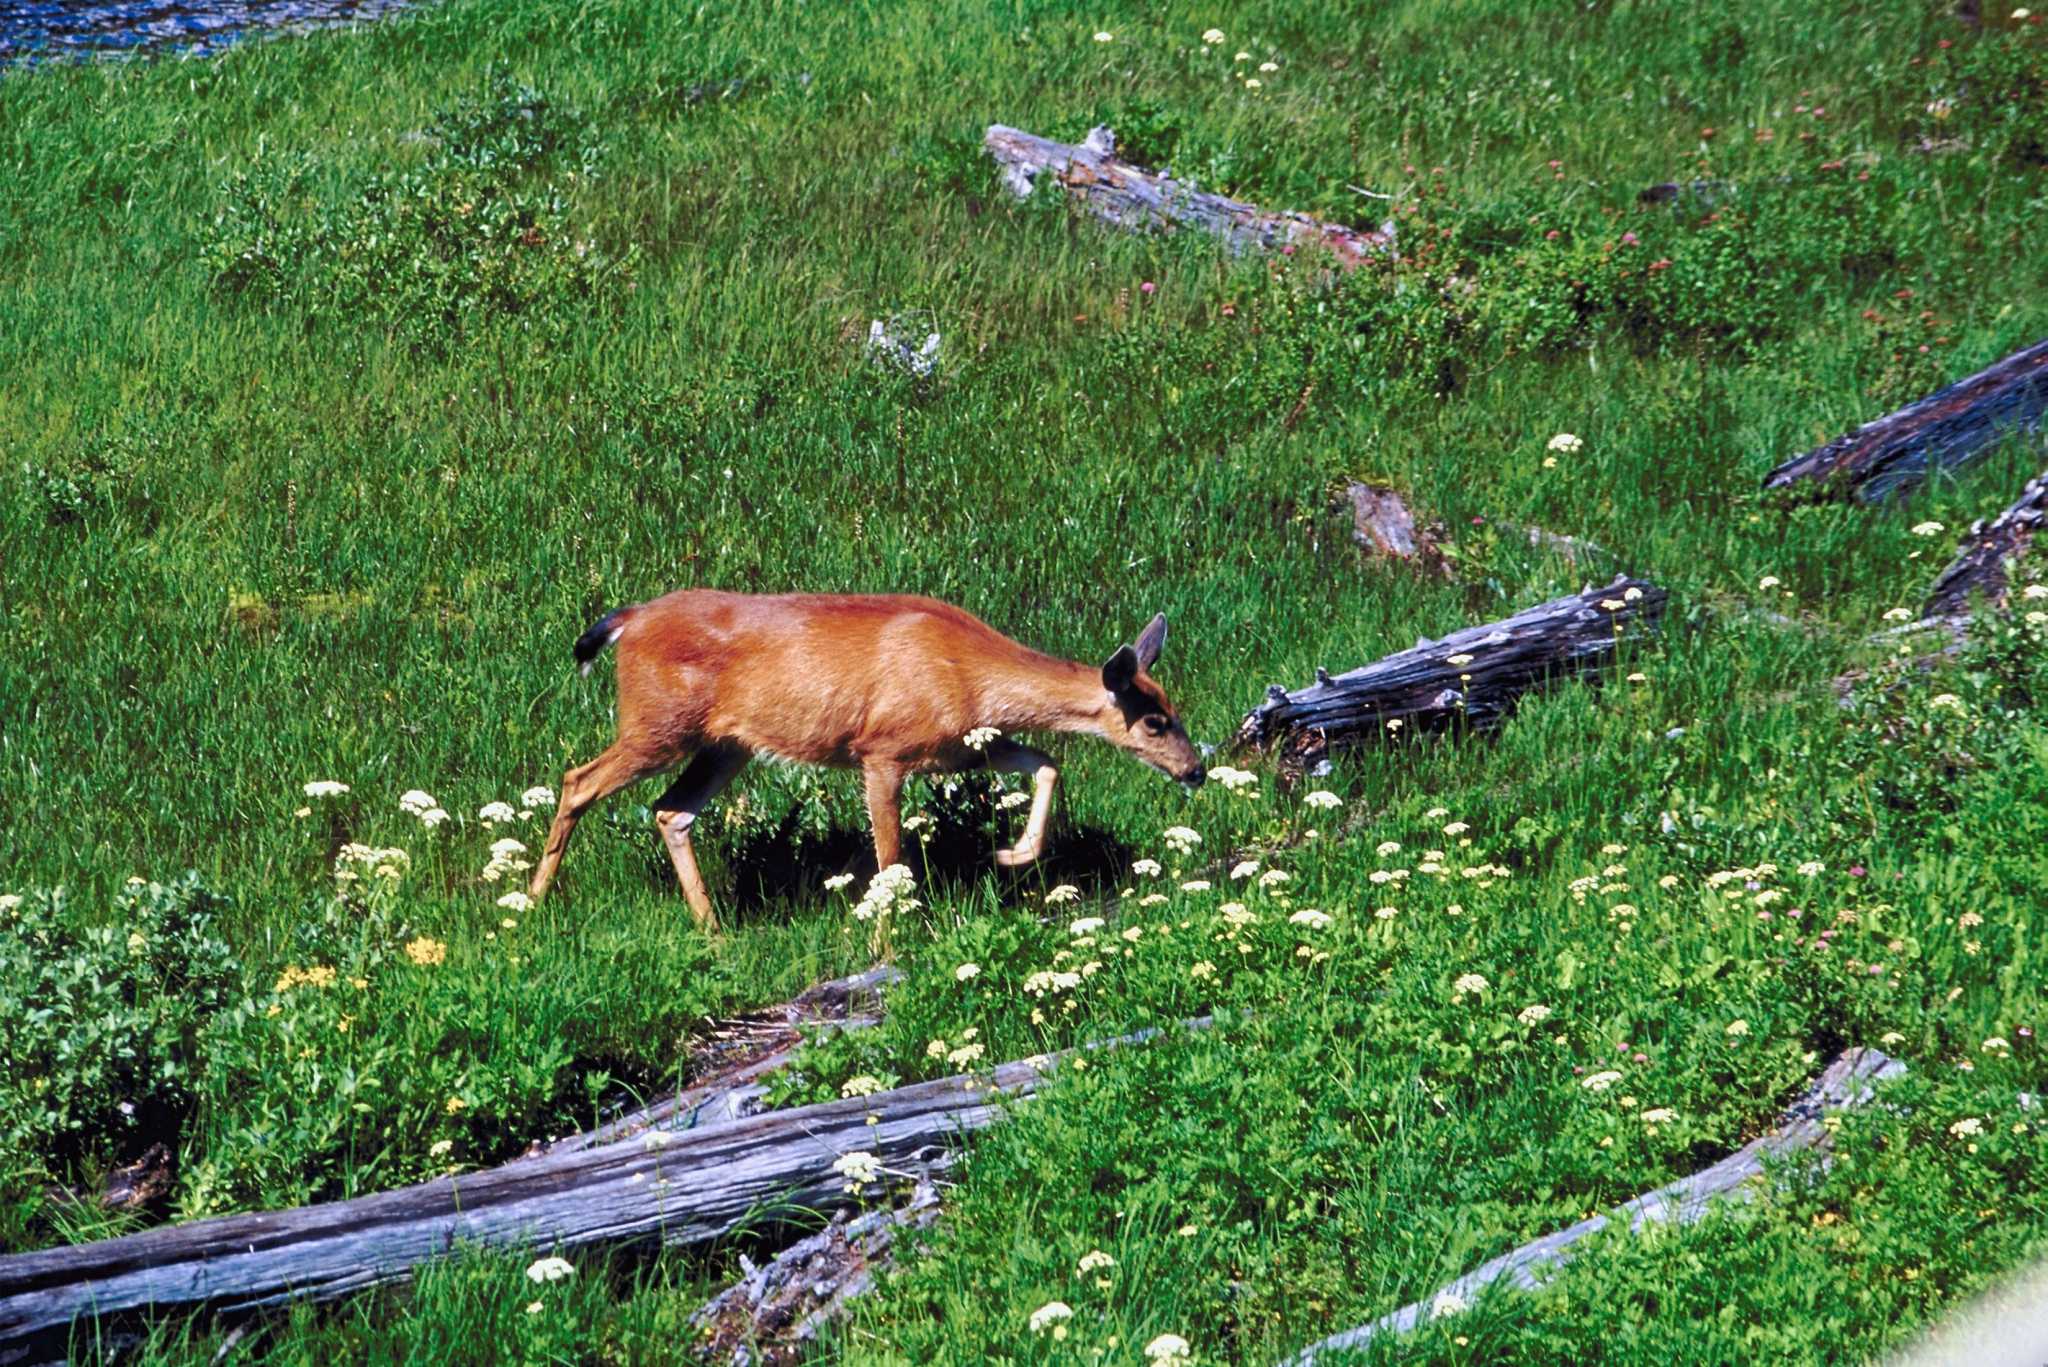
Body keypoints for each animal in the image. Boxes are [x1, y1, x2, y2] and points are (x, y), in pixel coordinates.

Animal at [528, 590, 1206, 930]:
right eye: (1155, 721)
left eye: (1172, 706)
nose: (1196, 769)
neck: (969, 674)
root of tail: (629, 619)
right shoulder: (883, 749)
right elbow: (891, 861)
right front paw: (887, 946)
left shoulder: (960, 748)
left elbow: (1045, 763)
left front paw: (1011, 854)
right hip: (657, 723)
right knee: (578, 779)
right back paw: (532, 904)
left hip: (726, 744)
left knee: (671, 811)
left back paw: (713, 929)